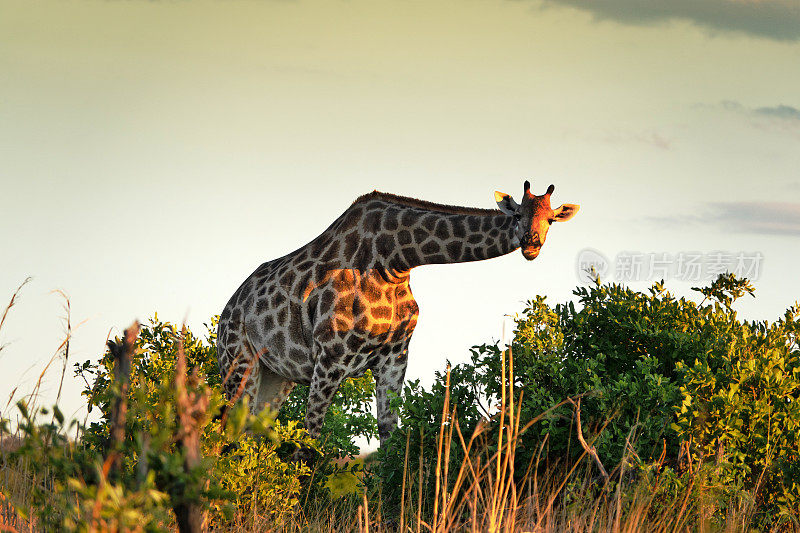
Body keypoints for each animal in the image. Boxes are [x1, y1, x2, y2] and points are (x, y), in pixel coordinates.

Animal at [217, 181, 580, 446]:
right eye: (517, 215)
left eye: (550, 219)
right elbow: (311, 444)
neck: (395, 261)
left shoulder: (395, 358)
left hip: (277, 377)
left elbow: (389, 440)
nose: (531, 243)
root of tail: (227, 311)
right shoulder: (330, 357)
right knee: (227, 433)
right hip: (239, 364)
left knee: (248, 435)